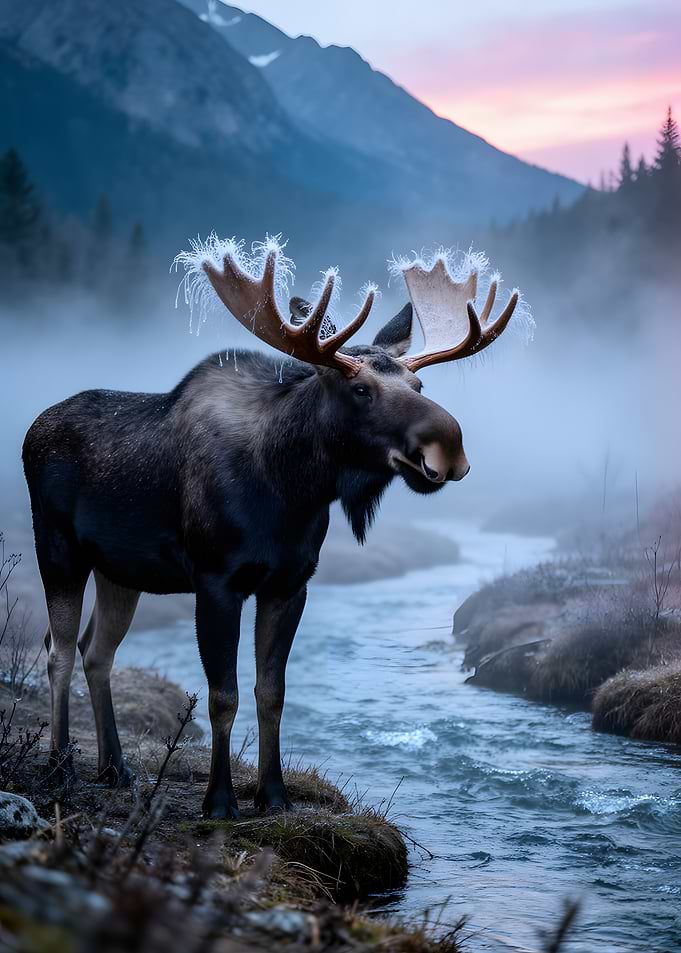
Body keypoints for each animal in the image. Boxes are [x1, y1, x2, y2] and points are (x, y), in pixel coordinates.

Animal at [22, 237, 521, 818]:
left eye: (419, 382)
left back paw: (113, 767)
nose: (449, 448)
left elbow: (272, 692)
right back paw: (59, 768)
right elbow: (224, 695)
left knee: (95, 651)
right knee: (57, 650)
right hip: (58, 547)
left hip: (120, 570)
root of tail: (32, 429)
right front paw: (219, 800)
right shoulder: (216, 581)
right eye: (359, 389)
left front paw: (274, 795)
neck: (293, 491)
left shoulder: (290, 583)